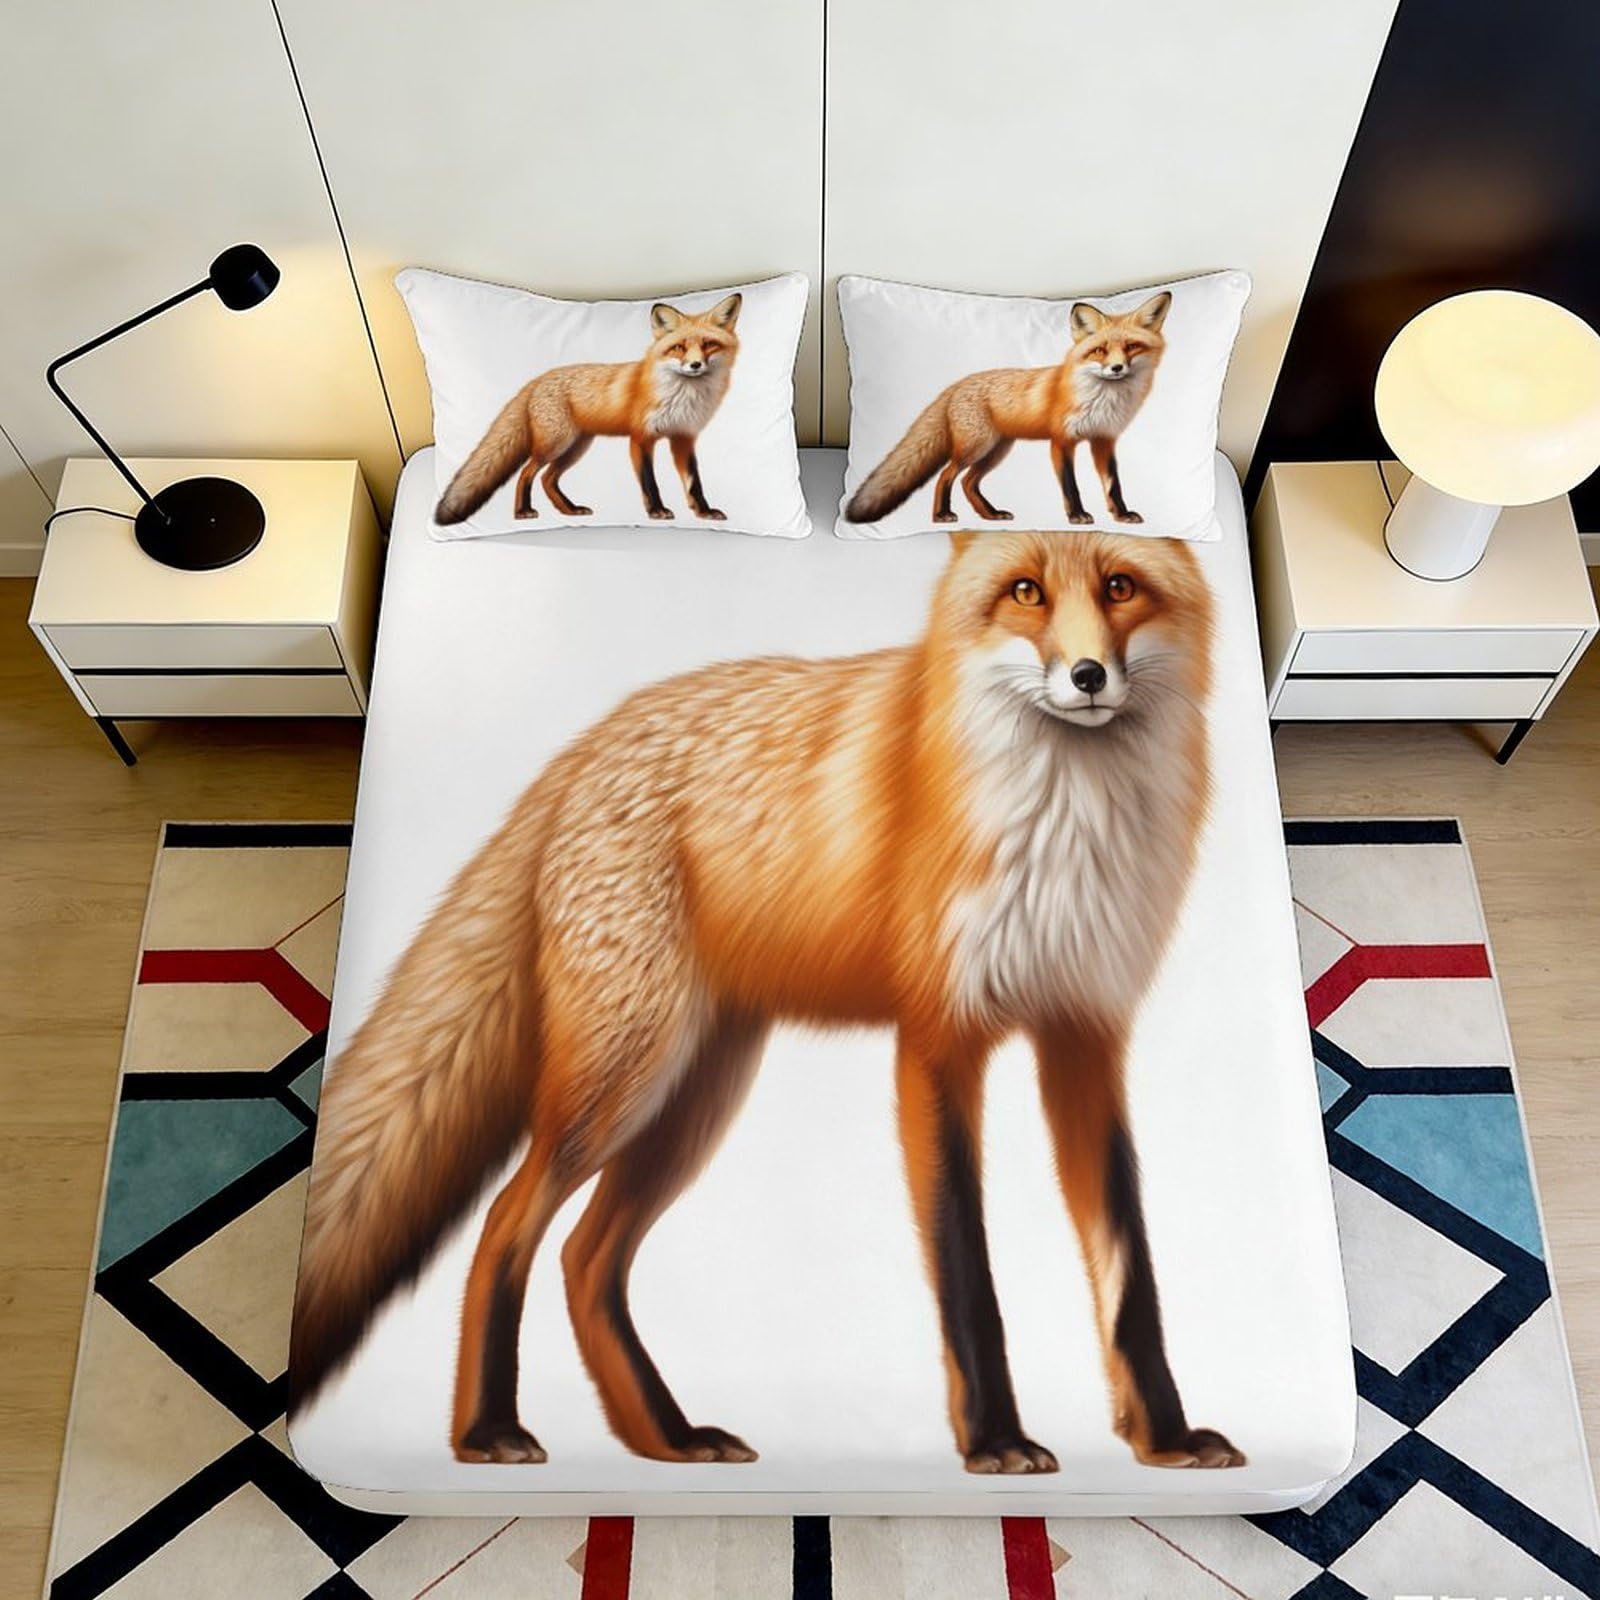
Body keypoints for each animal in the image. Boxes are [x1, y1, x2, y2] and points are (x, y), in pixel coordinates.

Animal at [289, 527, 1245, 1477]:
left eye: (1120, 586)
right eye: (1025, 593)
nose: (1087, 675)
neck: (1064, 828)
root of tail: (583, 748)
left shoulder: (1086, 1034)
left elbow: (1129, 1264)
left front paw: (1163, 1438)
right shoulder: (938, 1040)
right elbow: (966, 1267)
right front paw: (996, 1440)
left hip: (695, 1098)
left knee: (584, 1258)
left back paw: (665, 1438)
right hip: (624, 1080)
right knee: (503, 1224)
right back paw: (488, 1428)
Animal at [434, 293, 741, 526]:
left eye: (709, 344)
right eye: (678, 347)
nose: (695, 365)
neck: (682, 396)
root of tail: (536, 380)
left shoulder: (683, 437)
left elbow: (694, 483)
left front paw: (704, 511)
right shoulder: (641, 437)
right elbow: (649, 481)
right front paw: (656, 510)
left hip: (577, 446)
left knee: (547, 478)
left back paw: (569, 510)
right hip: (556, 443)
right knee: (526, 473)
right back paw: (523, 511)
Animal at [846, 291, 1172, 529]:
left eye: (1132, 346)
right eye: (1100, 350)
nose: (1116, 368)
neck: (1103, 399)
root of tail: (956, 384)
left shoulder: (1103, 439)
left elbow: (1113, 484)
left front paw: (1121, 515)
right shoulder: (1062, 441)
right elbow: (1071, 485)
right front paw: (1077, 516)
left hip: (997, 449)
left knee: (967, 482)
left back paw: (990, 515)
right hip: (976, 446)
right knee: (946, 476)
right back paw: (941, 515)